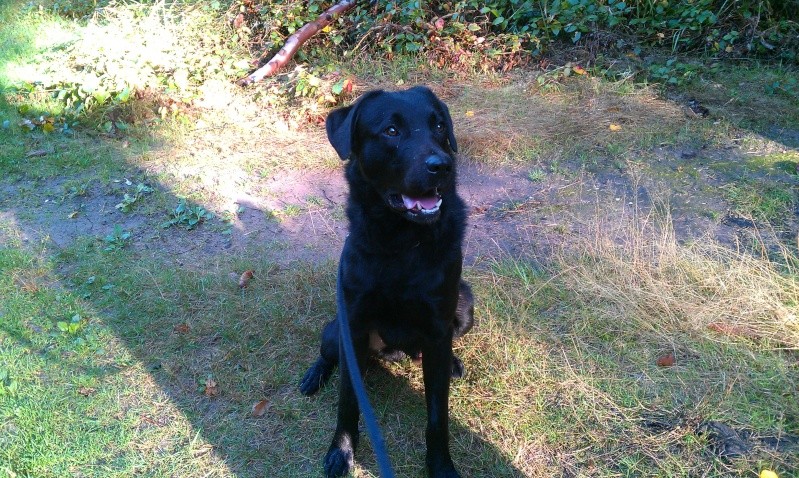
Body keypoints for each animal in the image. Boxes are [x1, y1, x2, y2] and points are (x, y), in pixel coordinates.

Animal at [300, 87, 476, 478]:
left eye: (439, 126)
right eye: (391, 131)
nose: (443, 165)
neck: (402, 243)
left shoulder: (438, 328)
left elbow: (438, 417)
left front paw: (441, 466)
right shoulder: (353, 324)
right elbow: (348, 403)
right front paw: (342, 451)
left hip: (465, 304)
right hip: (336, 330)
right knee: (328, 354)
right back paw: (314, 376)